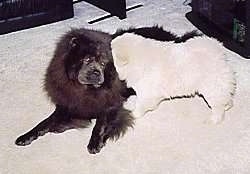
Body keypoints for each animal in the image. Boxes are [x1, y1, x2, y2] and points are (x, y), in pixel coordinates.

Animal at [15, 25, 201, 154]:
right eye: (87, 59)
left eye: (104, 63)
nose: (96, 73)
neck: (86, 90)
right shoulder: (69, 104)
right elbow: (44, 123)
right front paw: (26, 137)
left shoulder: (110, 104)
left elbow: (100, 124)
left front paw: (95, 143)